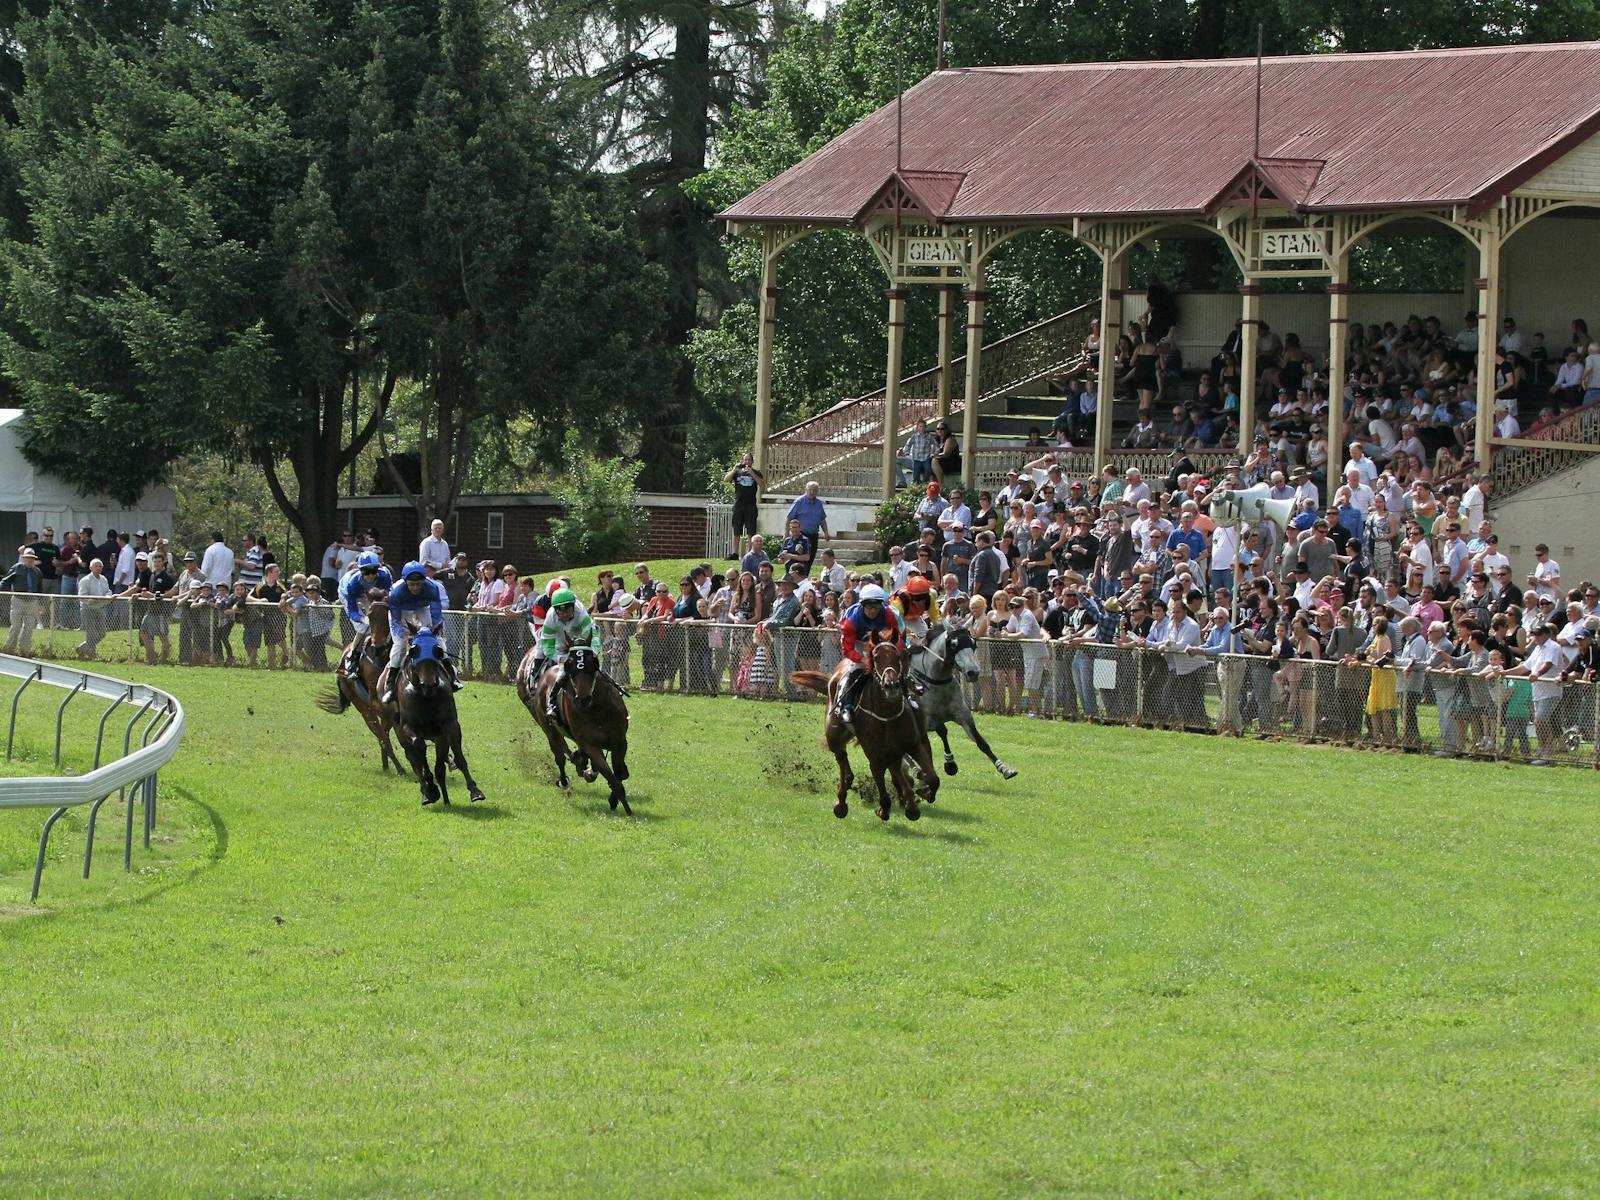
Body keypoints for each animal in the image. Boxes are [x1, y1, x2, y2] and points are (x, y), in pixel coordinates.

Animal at [313, 598, 406, 774]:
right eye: (370, 615)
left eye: (387, 613)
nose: (377, 647)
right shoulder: (377, 704)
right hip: (363, 708)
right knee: (381, 737)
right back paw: (398, 767)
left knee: (384, 734)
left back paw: (387, 764)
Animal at [379, 630, 480, 809]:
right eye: (414, 650)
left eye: (437, 650)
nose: (429, 684)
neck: (426, 696)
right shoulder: (409, 727)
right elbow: (420, 751)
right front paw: (430, 788)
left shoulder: (449, 726)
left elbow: (457, 757)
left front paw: (475, 791)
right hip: (399, 731)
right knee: (414, 759)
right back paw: (427, 792)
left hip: (439, 737)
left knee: (439, 768)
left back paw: (446, 800)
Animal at [518, 643, 630, 812]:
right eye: (570, 668)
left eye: (594, 663)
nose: (582, 699)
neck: (598, 710)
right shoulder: (591, 745)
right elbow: (610, 774)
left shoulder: (620, 742)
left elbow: (618, 772)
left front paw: (614, 796)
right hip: (546, 725)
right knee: (559, 755)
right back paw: (565, 778)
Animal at [790, 640, 934, 825]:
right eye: (876, 659)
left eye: (901, 657)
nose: (892, 686)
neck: (887, 714)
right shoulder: (876, 753)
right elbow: (886, 776)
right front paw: (894, 805)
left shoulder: (915, 742)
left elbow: (930, 777)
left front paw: (918, 794)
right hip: (833, 735)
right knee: (841, 757)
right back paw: (842, 801)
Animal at [908, 624, 1017, 784]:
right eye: (954, 645)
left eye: (973, 644)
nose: (973, 672)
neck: (935, 681)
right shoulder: (925, 721)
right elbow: (942, 730)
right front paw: (950, 764)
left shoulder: (963, 715)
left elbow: (981, 742)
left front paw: (1004, 768)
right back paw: (916, 770)